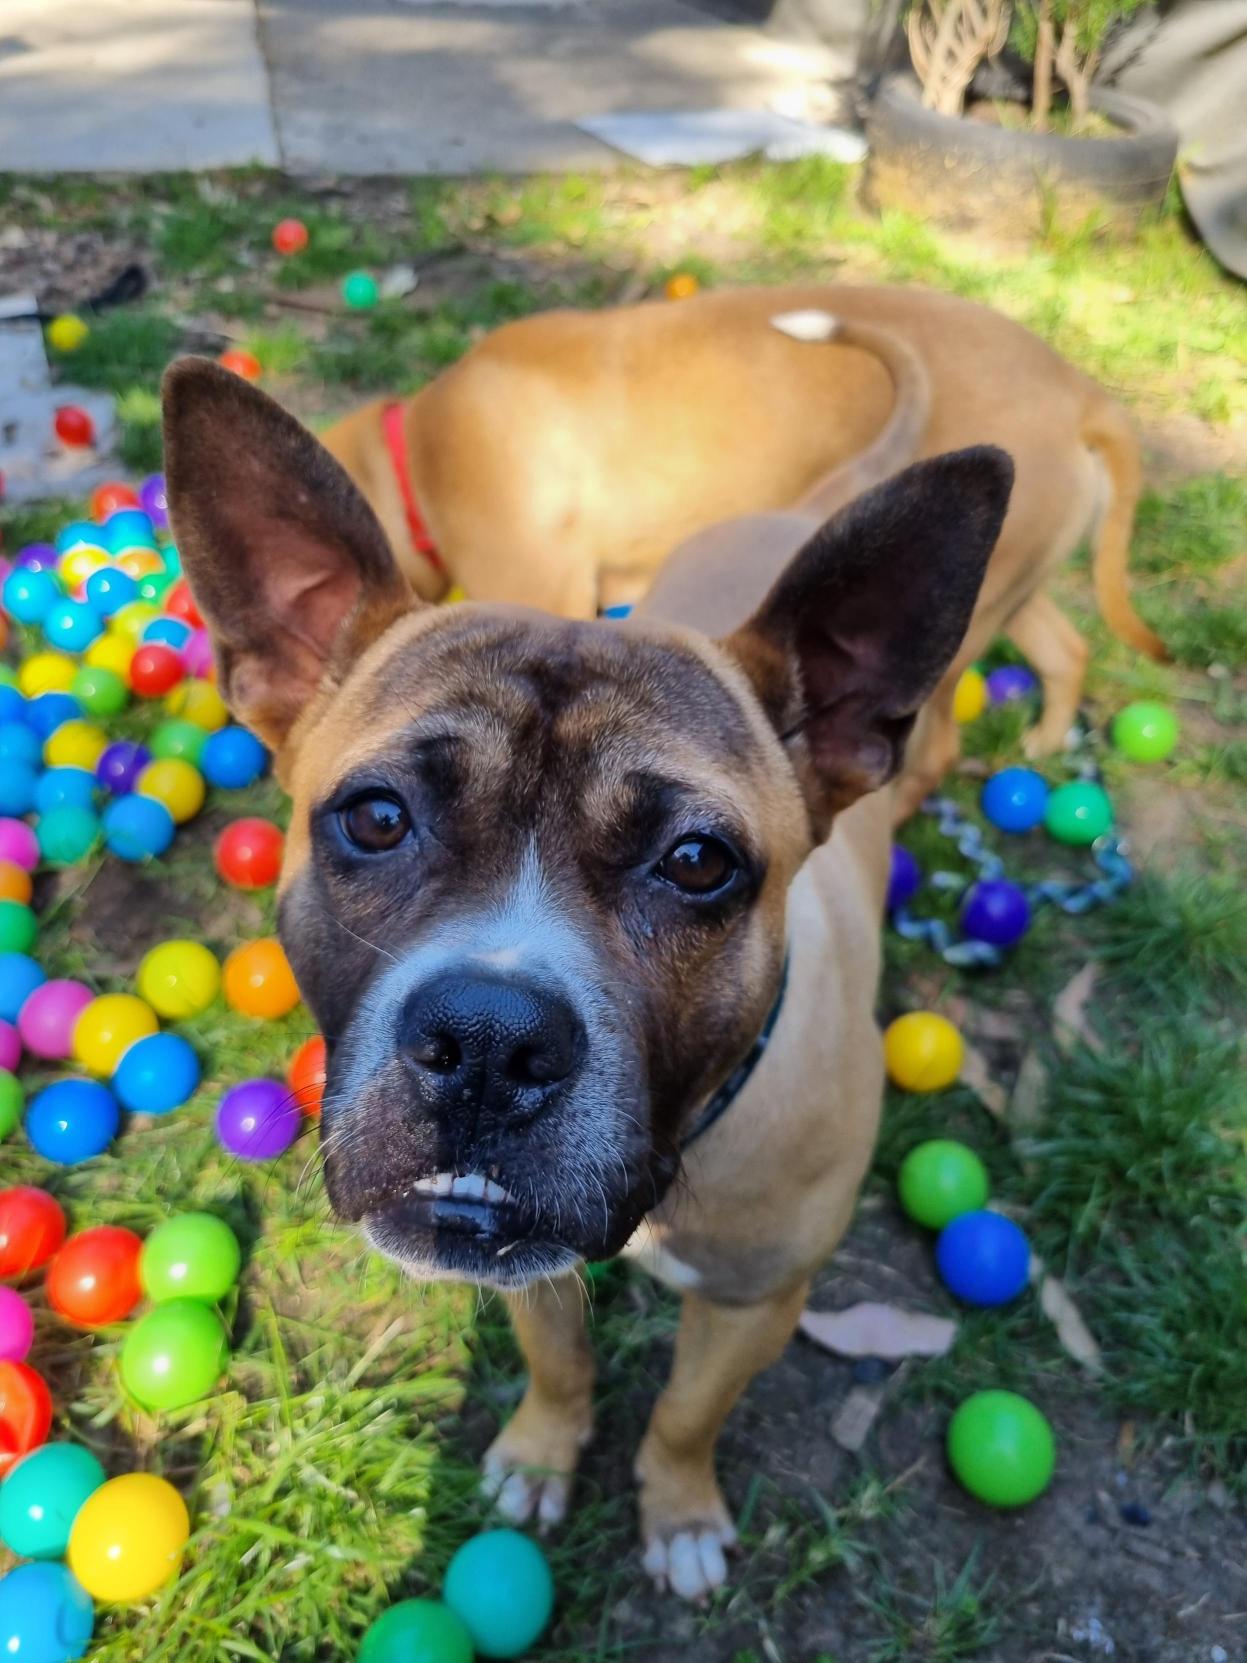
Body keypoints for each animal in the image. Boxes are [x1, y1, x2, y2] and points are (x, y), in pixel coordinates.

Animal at [163, 358, 1012, 1602]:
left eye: (697, 862)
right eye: (376, 817)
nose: (483, 1040)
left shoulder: (755, 1301)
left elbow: (685, 1415)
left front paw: (679, 1511)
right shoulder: (519, 1258)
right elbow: (558, 1363)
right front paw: (537, 1454)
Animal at [322, 282, 1163, 812]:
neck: (417, 450)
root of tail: (1083, 396)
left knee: (934, 754)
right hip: (1005, 589)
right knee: (1065, 651)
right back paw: (1044, 740)